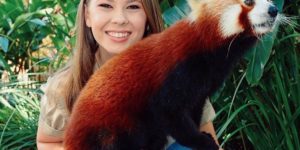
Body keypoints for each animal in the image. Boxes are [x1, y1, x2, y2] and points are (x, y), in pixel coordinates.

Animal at [63, 0, 278, 149]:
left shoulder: (203, 86)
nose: (274, 9)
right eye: (249, 2)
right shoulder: (175, 73)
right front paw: (200, 140)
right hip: (107, 129)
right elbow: (168, 112)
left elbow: (194, 109)